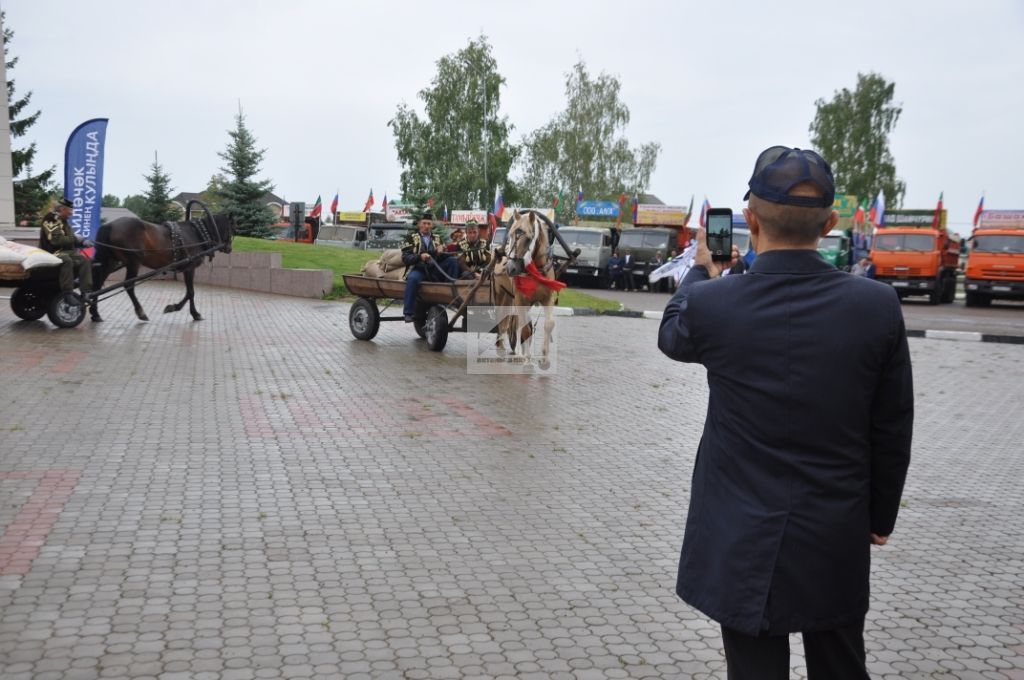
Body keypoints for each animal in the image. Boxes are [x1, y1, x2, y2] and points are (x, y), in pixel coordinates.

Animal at [90, 213, 235, 321]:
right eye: (231, 228)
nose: (229, 248)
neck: (196, 233)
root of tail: (109, 225)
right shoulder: (190, 268)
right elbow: (191, 292)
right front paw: (189, 312)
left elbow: (189, 292)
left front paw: (180, 309)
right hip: (133, 262)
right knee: (128, 286)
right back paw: (141, 312)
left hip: (110, 262)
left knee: (97, 284)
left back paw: (95, 313)